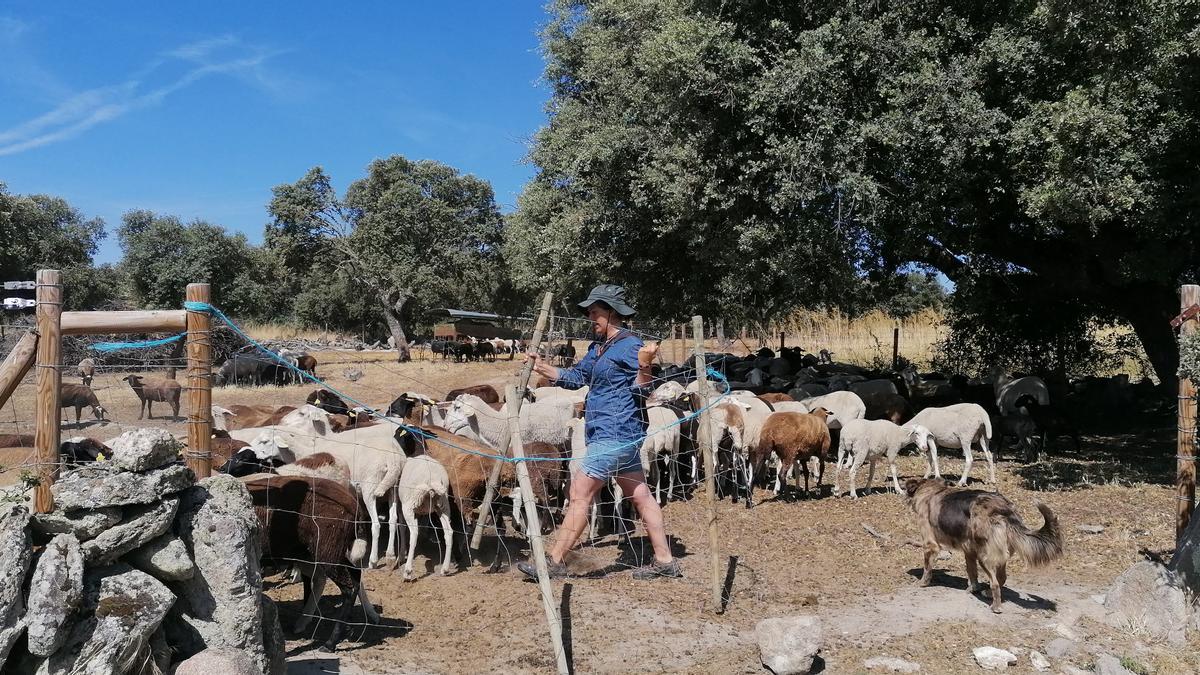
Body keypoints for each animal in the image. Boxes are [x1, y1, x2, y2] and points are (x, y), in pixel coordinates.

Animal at [902, 475, 1065, 612]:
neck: (931, 491)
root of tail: (1004, 510)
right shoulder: (969, 551)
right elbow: (971, 572)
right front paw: (973, 589)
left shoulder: (930, 544)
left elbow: (927, 568)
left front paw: (923, 583)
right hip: (999, 554)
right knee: (1002, 578)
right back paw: (988, 593)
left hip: (984, 557)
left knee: (995, 583)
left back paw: (995, 606)